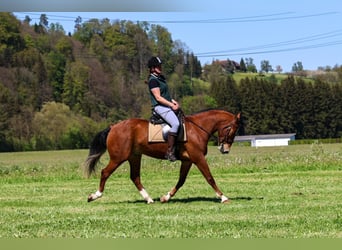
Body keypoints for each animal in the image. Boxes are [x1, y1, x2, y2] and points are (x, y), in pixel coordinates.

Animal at [84, 109, 240, 203]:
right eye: (232, 130)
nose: (225, 150)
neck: (197, 129)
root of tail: (113, 126)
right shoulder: (198, 157)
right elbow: (209, 177)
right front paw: (223, 197)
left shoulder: (188, 161)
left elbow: (181, 180)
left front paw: (166, 197)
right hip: (118, 158)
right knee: (105, 172)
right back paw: (95, 195)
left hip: (134, 156)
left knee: (135, 177)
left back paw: (148, 199)